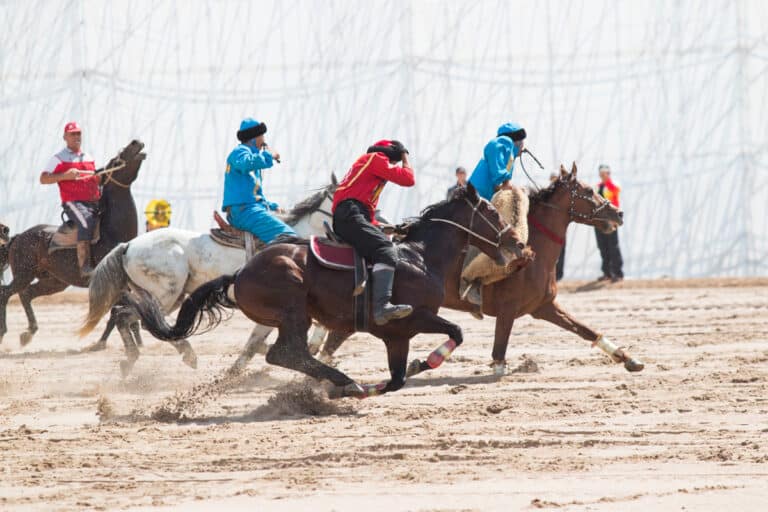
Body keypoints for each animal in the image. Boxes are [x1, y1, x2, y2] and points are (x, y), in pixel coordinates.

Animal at [0, 140, 146, 346]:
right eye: (115, 161)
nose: (136, 142)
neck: (113, 234)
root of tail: (19, 237)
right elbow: (119, 313)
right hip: (24, 274)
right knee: (5, 293)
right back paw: (4, 332)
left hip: (54, 282)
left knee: (27, 293)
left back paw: (29, 333)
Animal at [79, 174, 340, 374]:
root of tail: (128, 246)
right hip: (166, 295)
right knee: (128, 317)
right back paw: (166, 356)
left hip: (169, 297)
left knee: (138, 320)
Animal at [124, 186, 528, 398]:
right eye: (493, 211)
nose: (518, 243)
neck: (419, 255)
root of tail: (239, 273)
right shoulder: (415, 318)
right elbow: (455, 332)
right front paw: (423, 362)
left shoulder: (396, 337)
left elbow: (398, 378)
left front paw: (410, 368)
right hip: (292, 310)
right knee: (284, 353)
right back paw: (344, 381)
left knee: (289, 354)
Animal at [320, 164, 644, 376]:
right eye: (588, 190)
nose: (618, 213)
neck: (534, 254)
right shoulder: (508, 311)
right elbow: (499, 354)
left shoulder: (544, 307)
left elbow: (587, 330)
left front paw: (627, 358)